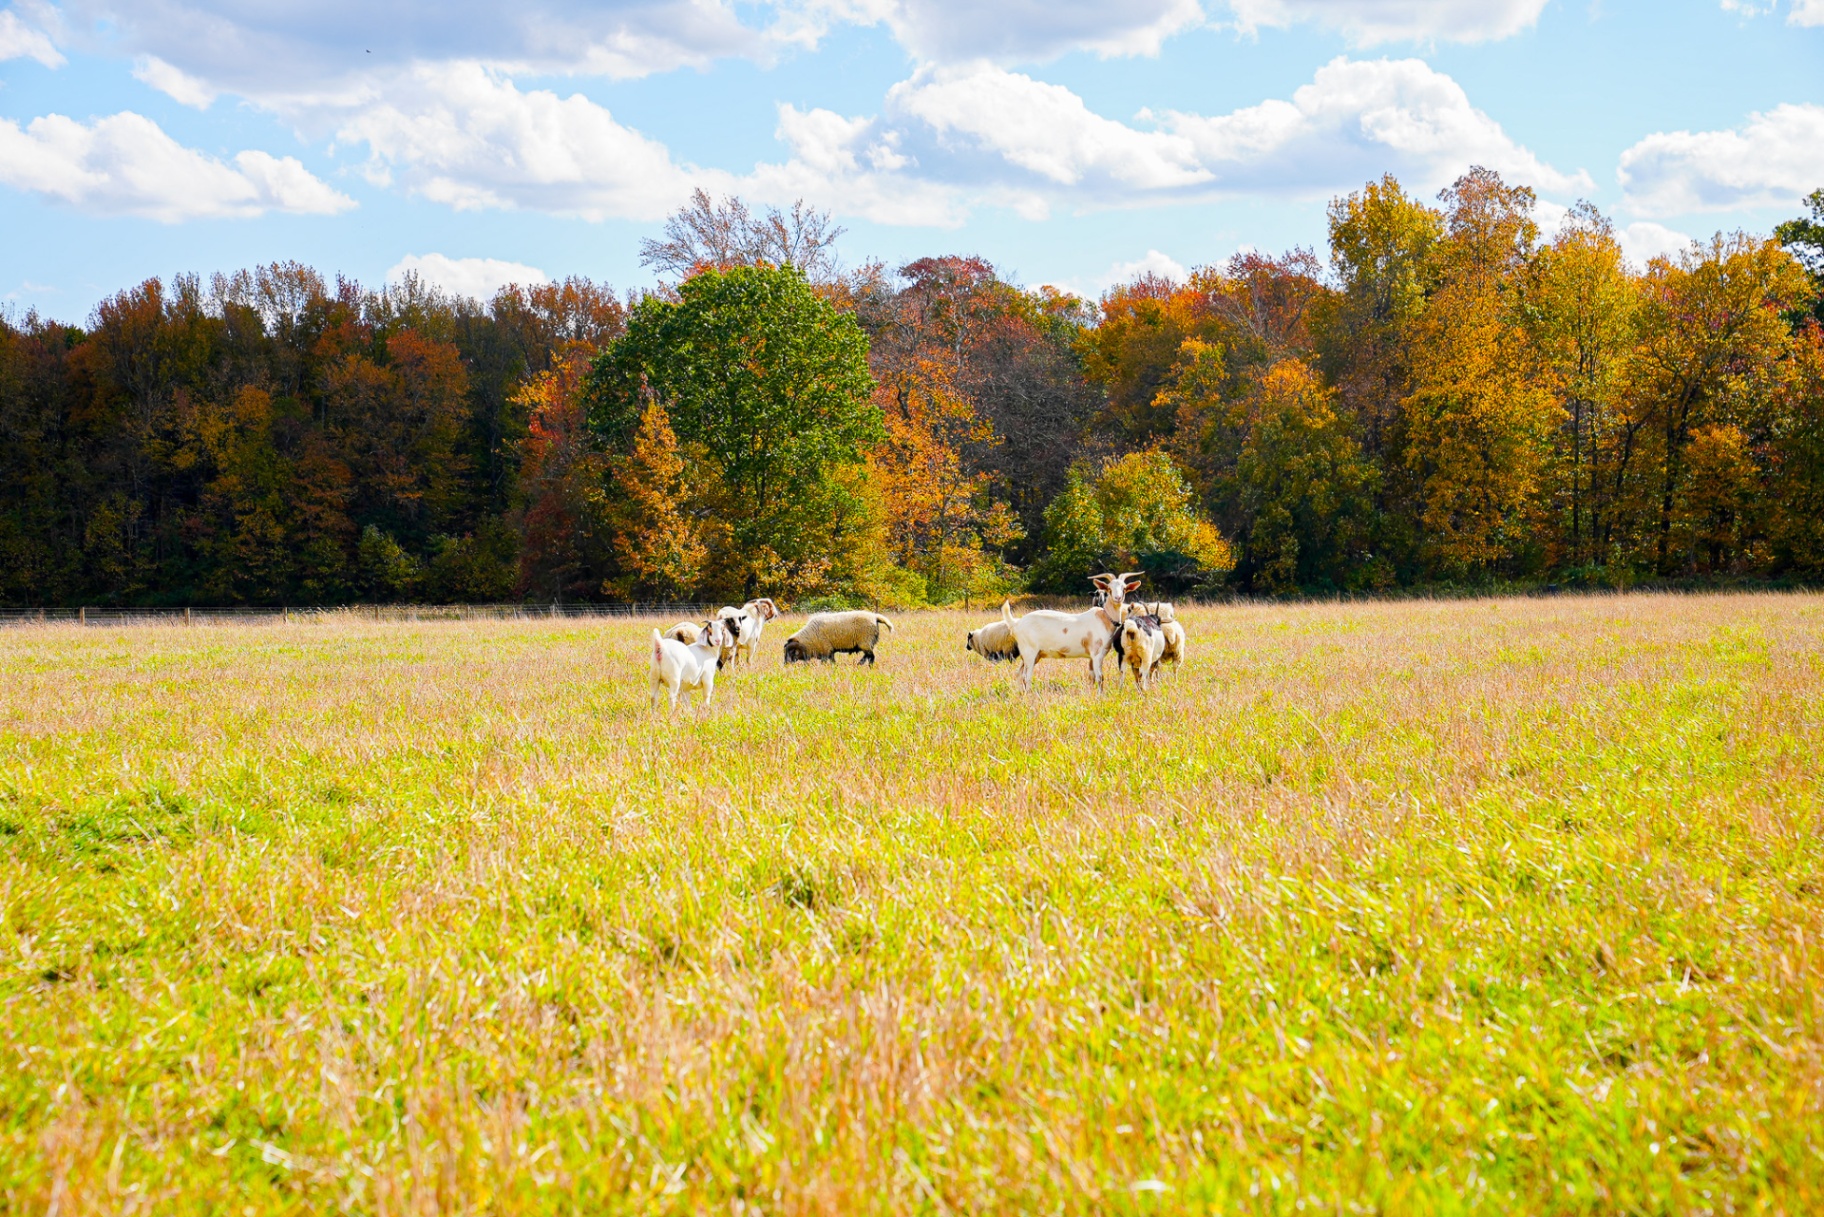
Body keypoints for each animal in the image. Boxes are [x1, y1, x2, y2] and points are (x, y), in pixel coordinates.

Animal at [999, 571, 1141, 692]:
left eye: (1124, 588)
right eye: (1109, 589)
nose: (1117, 598)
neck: (1104, 618)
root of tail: (1016, 624)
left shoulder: (1092, 656)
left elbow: (1092, 677)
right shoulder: (1096, 654)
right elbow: (1100, 678)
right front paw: (1100, 697)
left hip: (1034, 655)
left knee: (1018, 674)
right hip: (1030, 652)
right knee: (1026, 677)